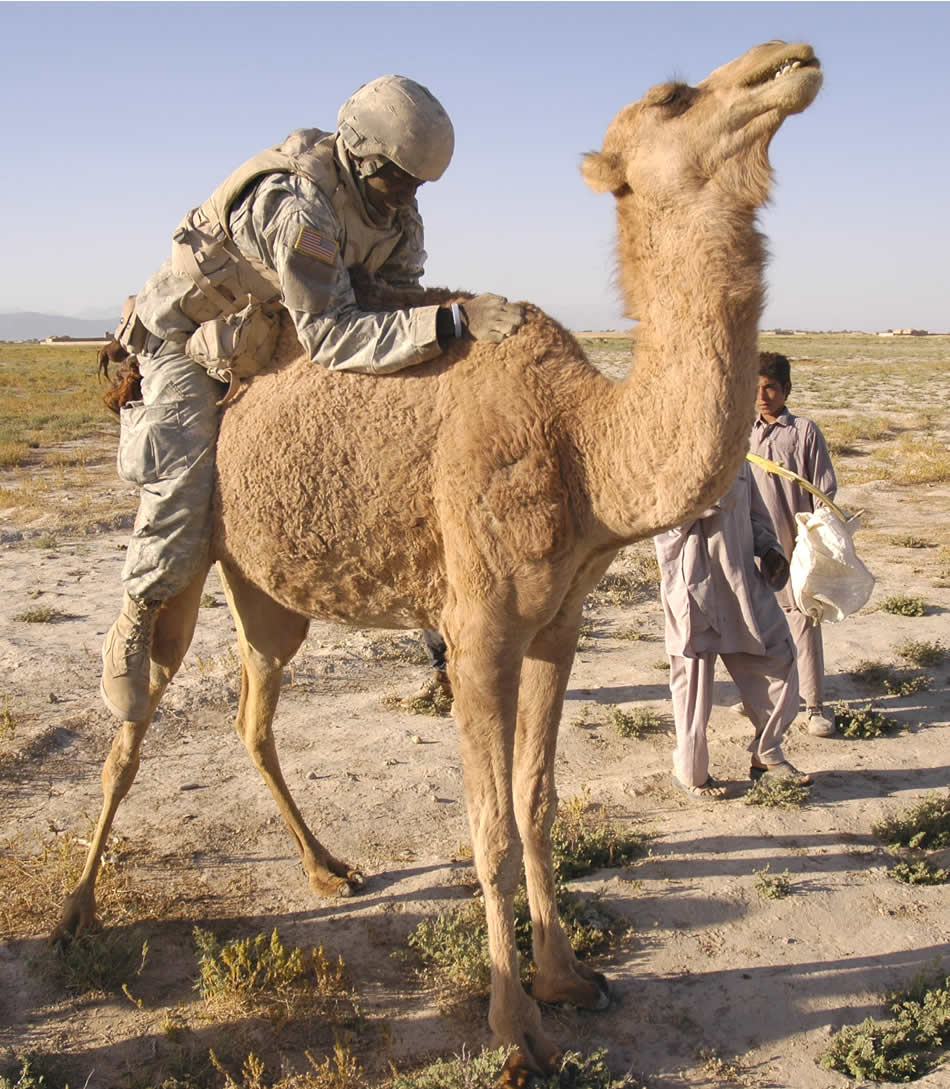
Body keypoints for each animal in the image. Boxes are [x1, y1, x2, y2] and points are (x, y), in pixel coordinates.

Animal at [56, 41, 821, 1080]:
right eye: (672, 95)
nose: (792, 59)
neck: (587, 441)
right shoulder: (478, 628)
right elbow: (489, 825)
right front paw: (516, 1028)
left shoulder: (557, 626)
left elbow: (538, 801)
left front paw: (568, 978)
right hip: (182, 507)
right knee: (136, 702)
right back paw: (73, 914)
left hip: (268, 588)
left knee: (255, 709)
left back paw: (328, 867)